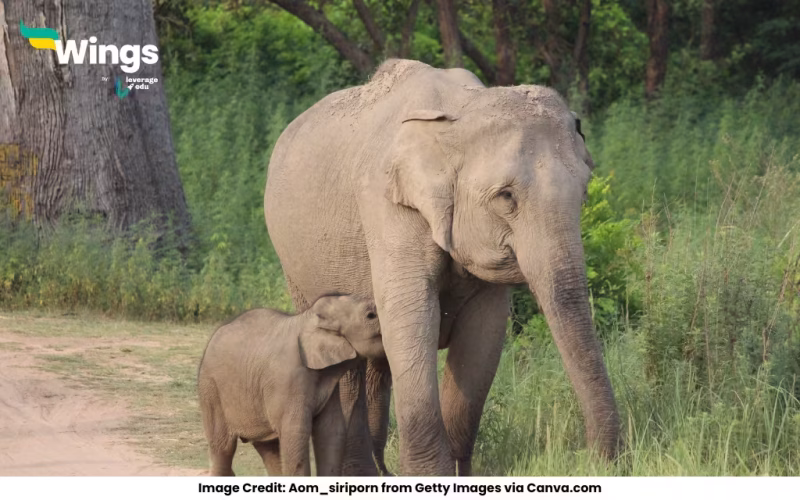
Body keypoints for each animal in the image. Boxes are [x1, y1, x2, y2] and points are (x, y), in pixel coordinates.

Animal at [197, 294, 384, 476]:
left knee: (268, 449)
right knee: (223, 446)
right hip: (211, 388)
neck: (306, 319)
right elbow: (295, 432)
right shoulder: (288, 378)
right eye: (370, 315)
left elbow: (330, 430)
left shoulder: (329, 381)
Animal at [264, 59, 620, 476]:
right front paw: (428, 476)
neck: (458, 114)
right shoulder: (388, 207)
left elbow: (483, 336)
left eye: (584, 192)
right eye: (506, 197)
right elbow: (411, 317)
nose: (593, 459)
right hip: (293, 261)